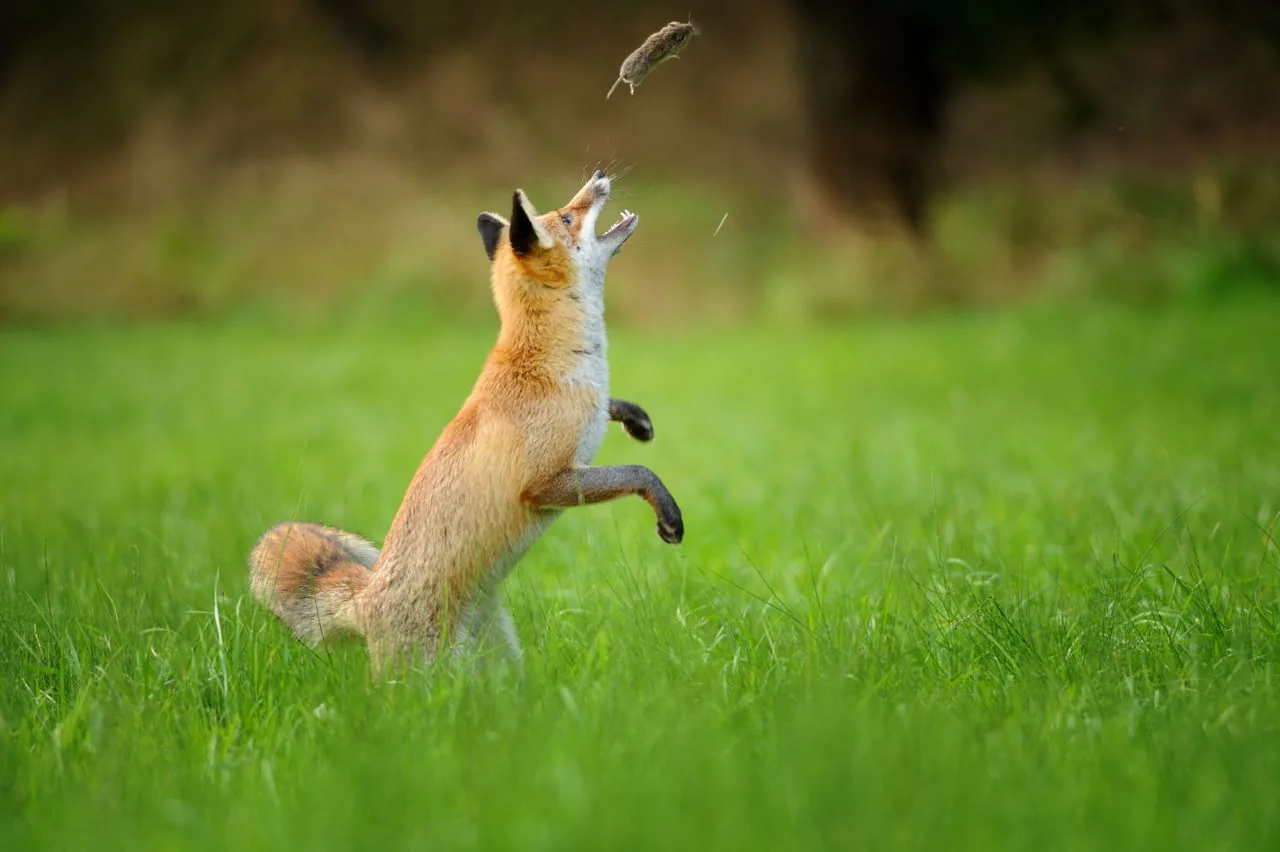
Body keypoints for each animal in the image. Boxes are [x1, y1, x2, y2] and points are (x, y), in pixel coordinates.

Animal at [248, 170, 683, 675]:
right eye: (567, 218)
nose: (598, 177)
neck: (552, 363)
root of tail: (366, 597)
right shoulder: (546, 481)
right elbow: (639, 472)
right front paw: (668, 512)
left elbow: (611, 408)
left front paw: (636, 419)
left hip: (501, 660)